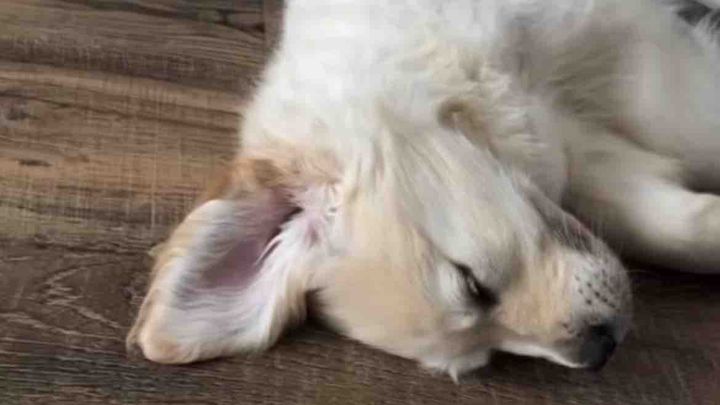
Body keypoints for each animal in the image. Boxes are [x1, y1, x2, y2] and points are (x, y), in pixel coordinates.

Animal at [127, 0, 720, 380]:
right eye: (482, 358)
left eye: (471, 283)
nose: (602, 350)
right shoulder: (577, 139)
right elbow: (669, 223)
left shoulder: (622, 46)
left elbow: (690, 125)